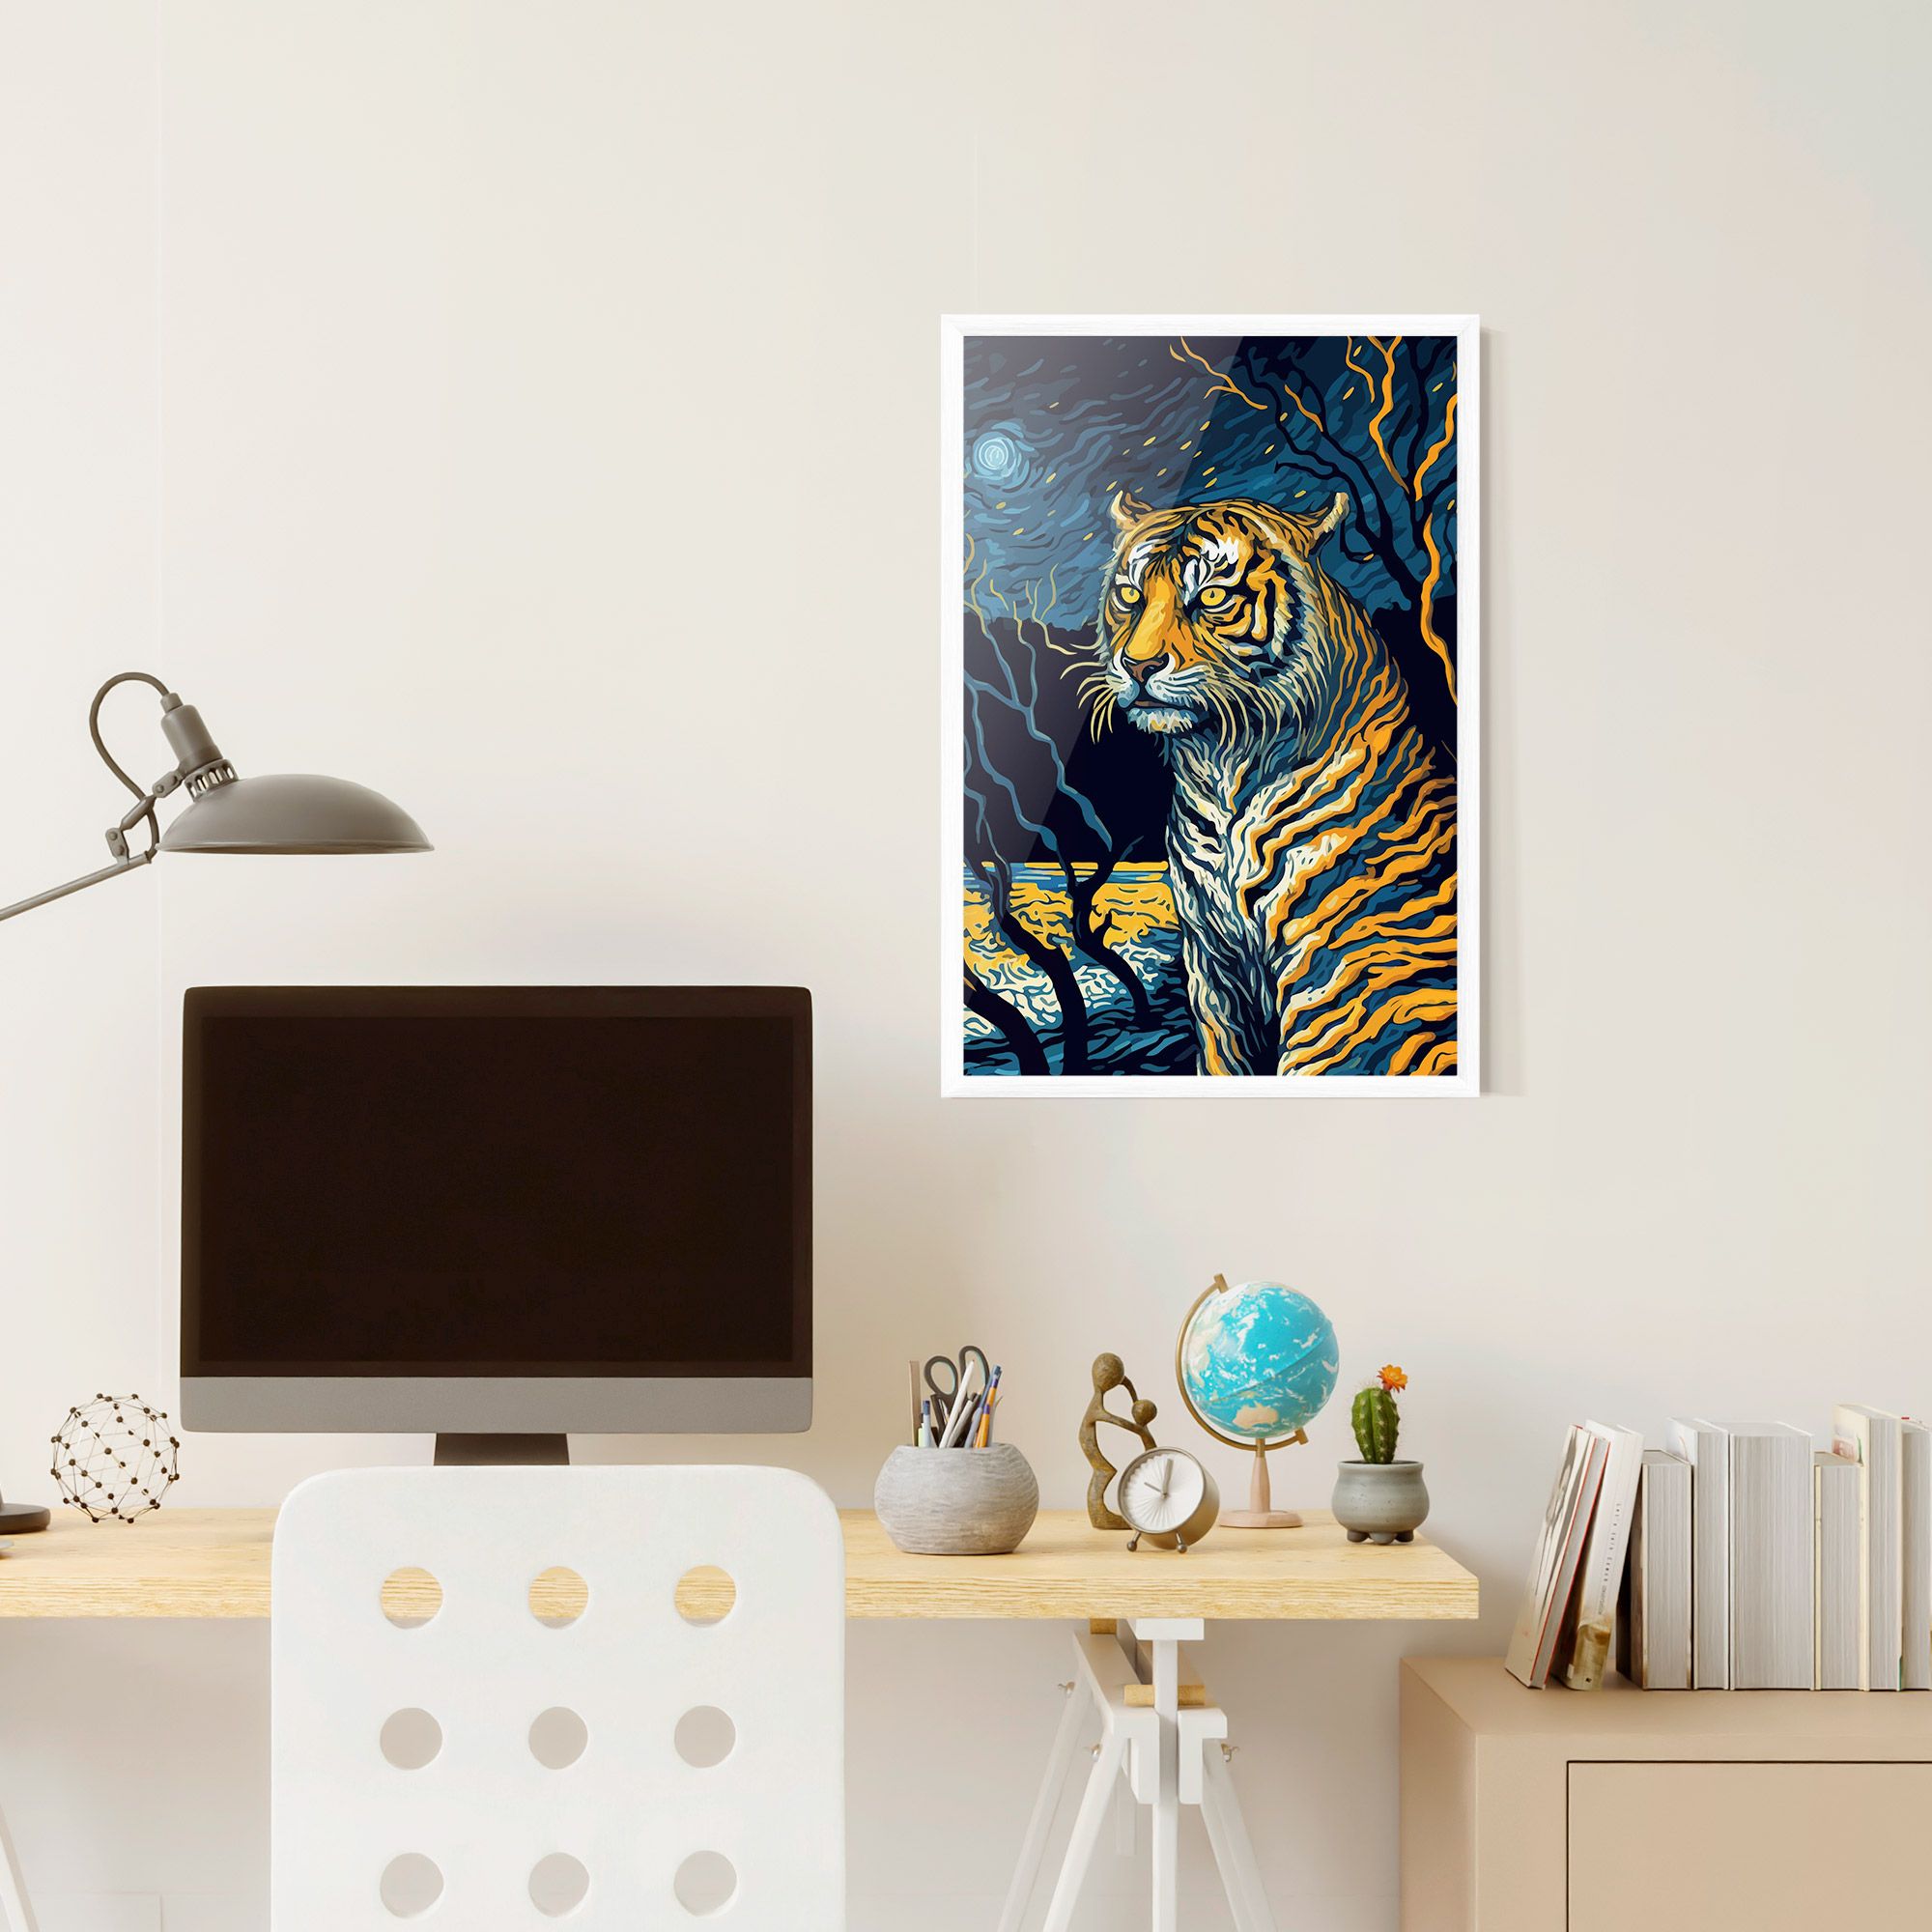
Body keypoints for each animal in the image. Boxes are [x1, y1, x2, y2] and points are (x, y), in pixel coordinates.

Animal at [1085, 487, 1458, 1077]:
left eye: (1211, 597)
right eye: (1129, 596)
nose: (1138, 665)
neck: (1217, 768)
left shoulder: (1329, 962)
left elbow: (1316, 1056)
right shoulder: (1212, 958)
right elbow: (1221, 1056)